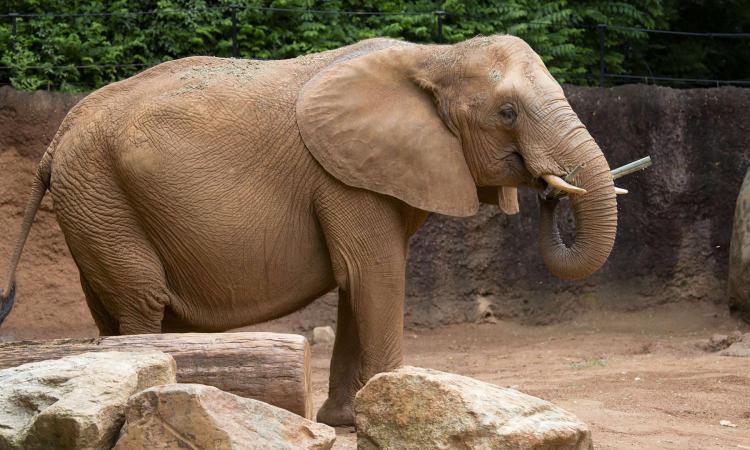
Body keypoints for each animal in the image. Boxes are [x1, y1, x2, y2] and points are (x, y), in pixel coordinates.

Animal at [1, 36, 616, 426]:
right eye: (508, 112)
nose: (550, 191)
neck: (434, 56)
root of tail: (57, 138)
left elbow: (356, 284)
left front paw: (345, 419)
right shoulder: (343, 174)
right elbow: (375, 275)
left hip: (92, 203)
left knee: (112, 310)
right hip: (100, 193)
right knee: (142, 301)